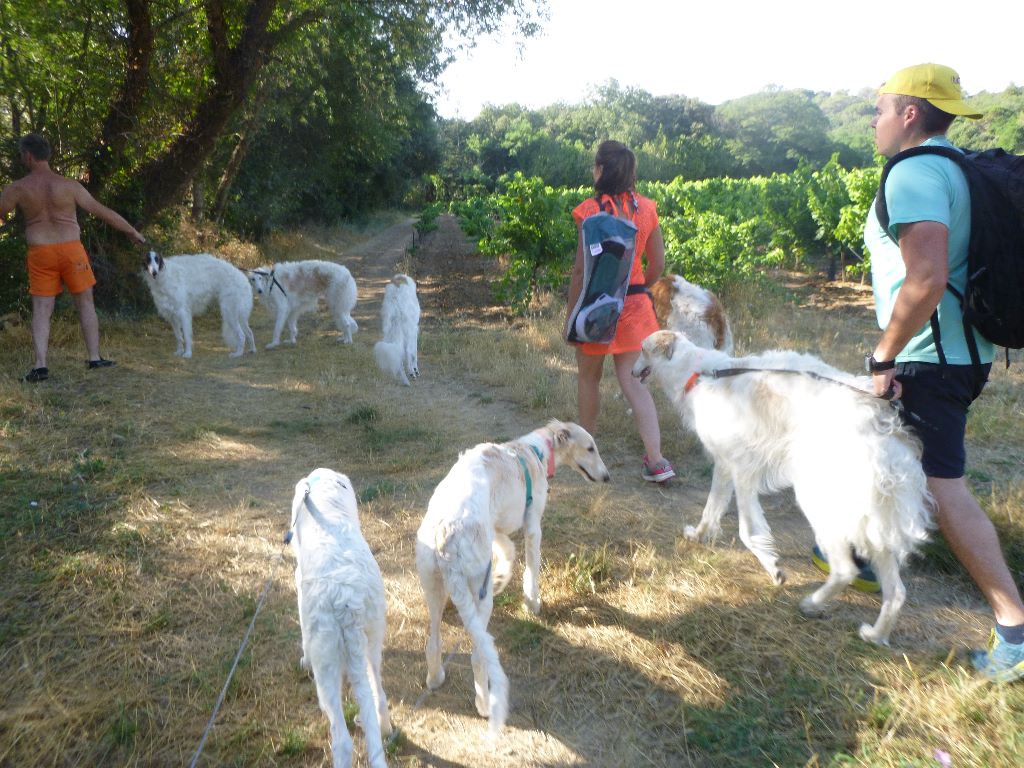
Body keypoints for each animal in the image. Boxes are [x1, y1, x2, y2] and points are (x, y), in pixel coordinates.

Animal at [292, 468, 395, 768]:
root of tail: (345, 603)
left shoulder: (299, 580)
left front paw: (303, 659)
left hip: (326, 666)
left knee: (341, 739)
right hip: (372, 639)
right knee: (377, 695)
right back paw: (384, 728)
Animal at [413, 421, 606, 733]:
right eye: (591, 448)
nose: (607, 476)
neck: (534, 450)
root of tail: (446, 540)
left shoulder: (499, 528)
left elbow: (508, 549)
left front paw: (502, 577)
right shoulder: (532, 525)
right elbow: (531, 569)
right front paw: (532, 604)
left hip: (432, 588)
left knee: (433, 643)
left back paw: (435, 678)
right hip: (480, 598)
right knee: (478, 657)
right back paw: (483, 705)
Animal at [626, 331, 933, 651]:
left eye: (641, 350)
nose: (631, 373)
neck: (698, 373)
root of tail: (880, 423)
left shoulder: (740, 468)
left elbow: (748, 532)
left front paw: (773, 567)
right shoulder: (724, 466)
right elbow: (711, 512)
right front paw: (699, 536)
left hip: (819, 501)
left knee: (846, 570)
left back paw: (812, 603)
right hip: (872, 521)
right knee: (896, 592)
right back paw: (875, 634)